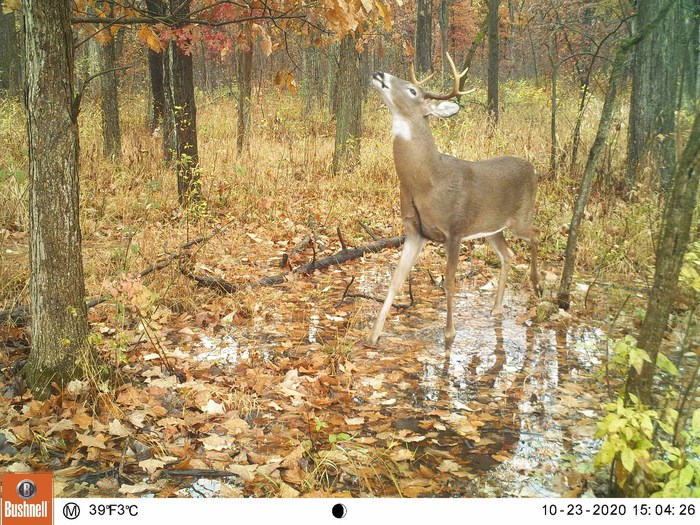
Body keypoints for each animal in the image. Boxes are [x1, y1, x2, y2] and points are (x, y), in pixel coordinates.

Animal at [367, 54, 542, 348]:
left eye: (412, 91)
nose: (378, 73)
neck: (426, 181)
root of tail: (532, 168)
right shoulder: (414, 231)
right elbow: (396, 280)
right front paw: (372, 336)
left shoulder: (455, 229)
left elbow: (449, 282)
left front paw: (449, 333)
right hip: (492, 228)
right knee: (508, 254)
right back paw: (496, 308)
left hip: (521, 217)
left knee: (536, 234)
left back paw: (537, 284)